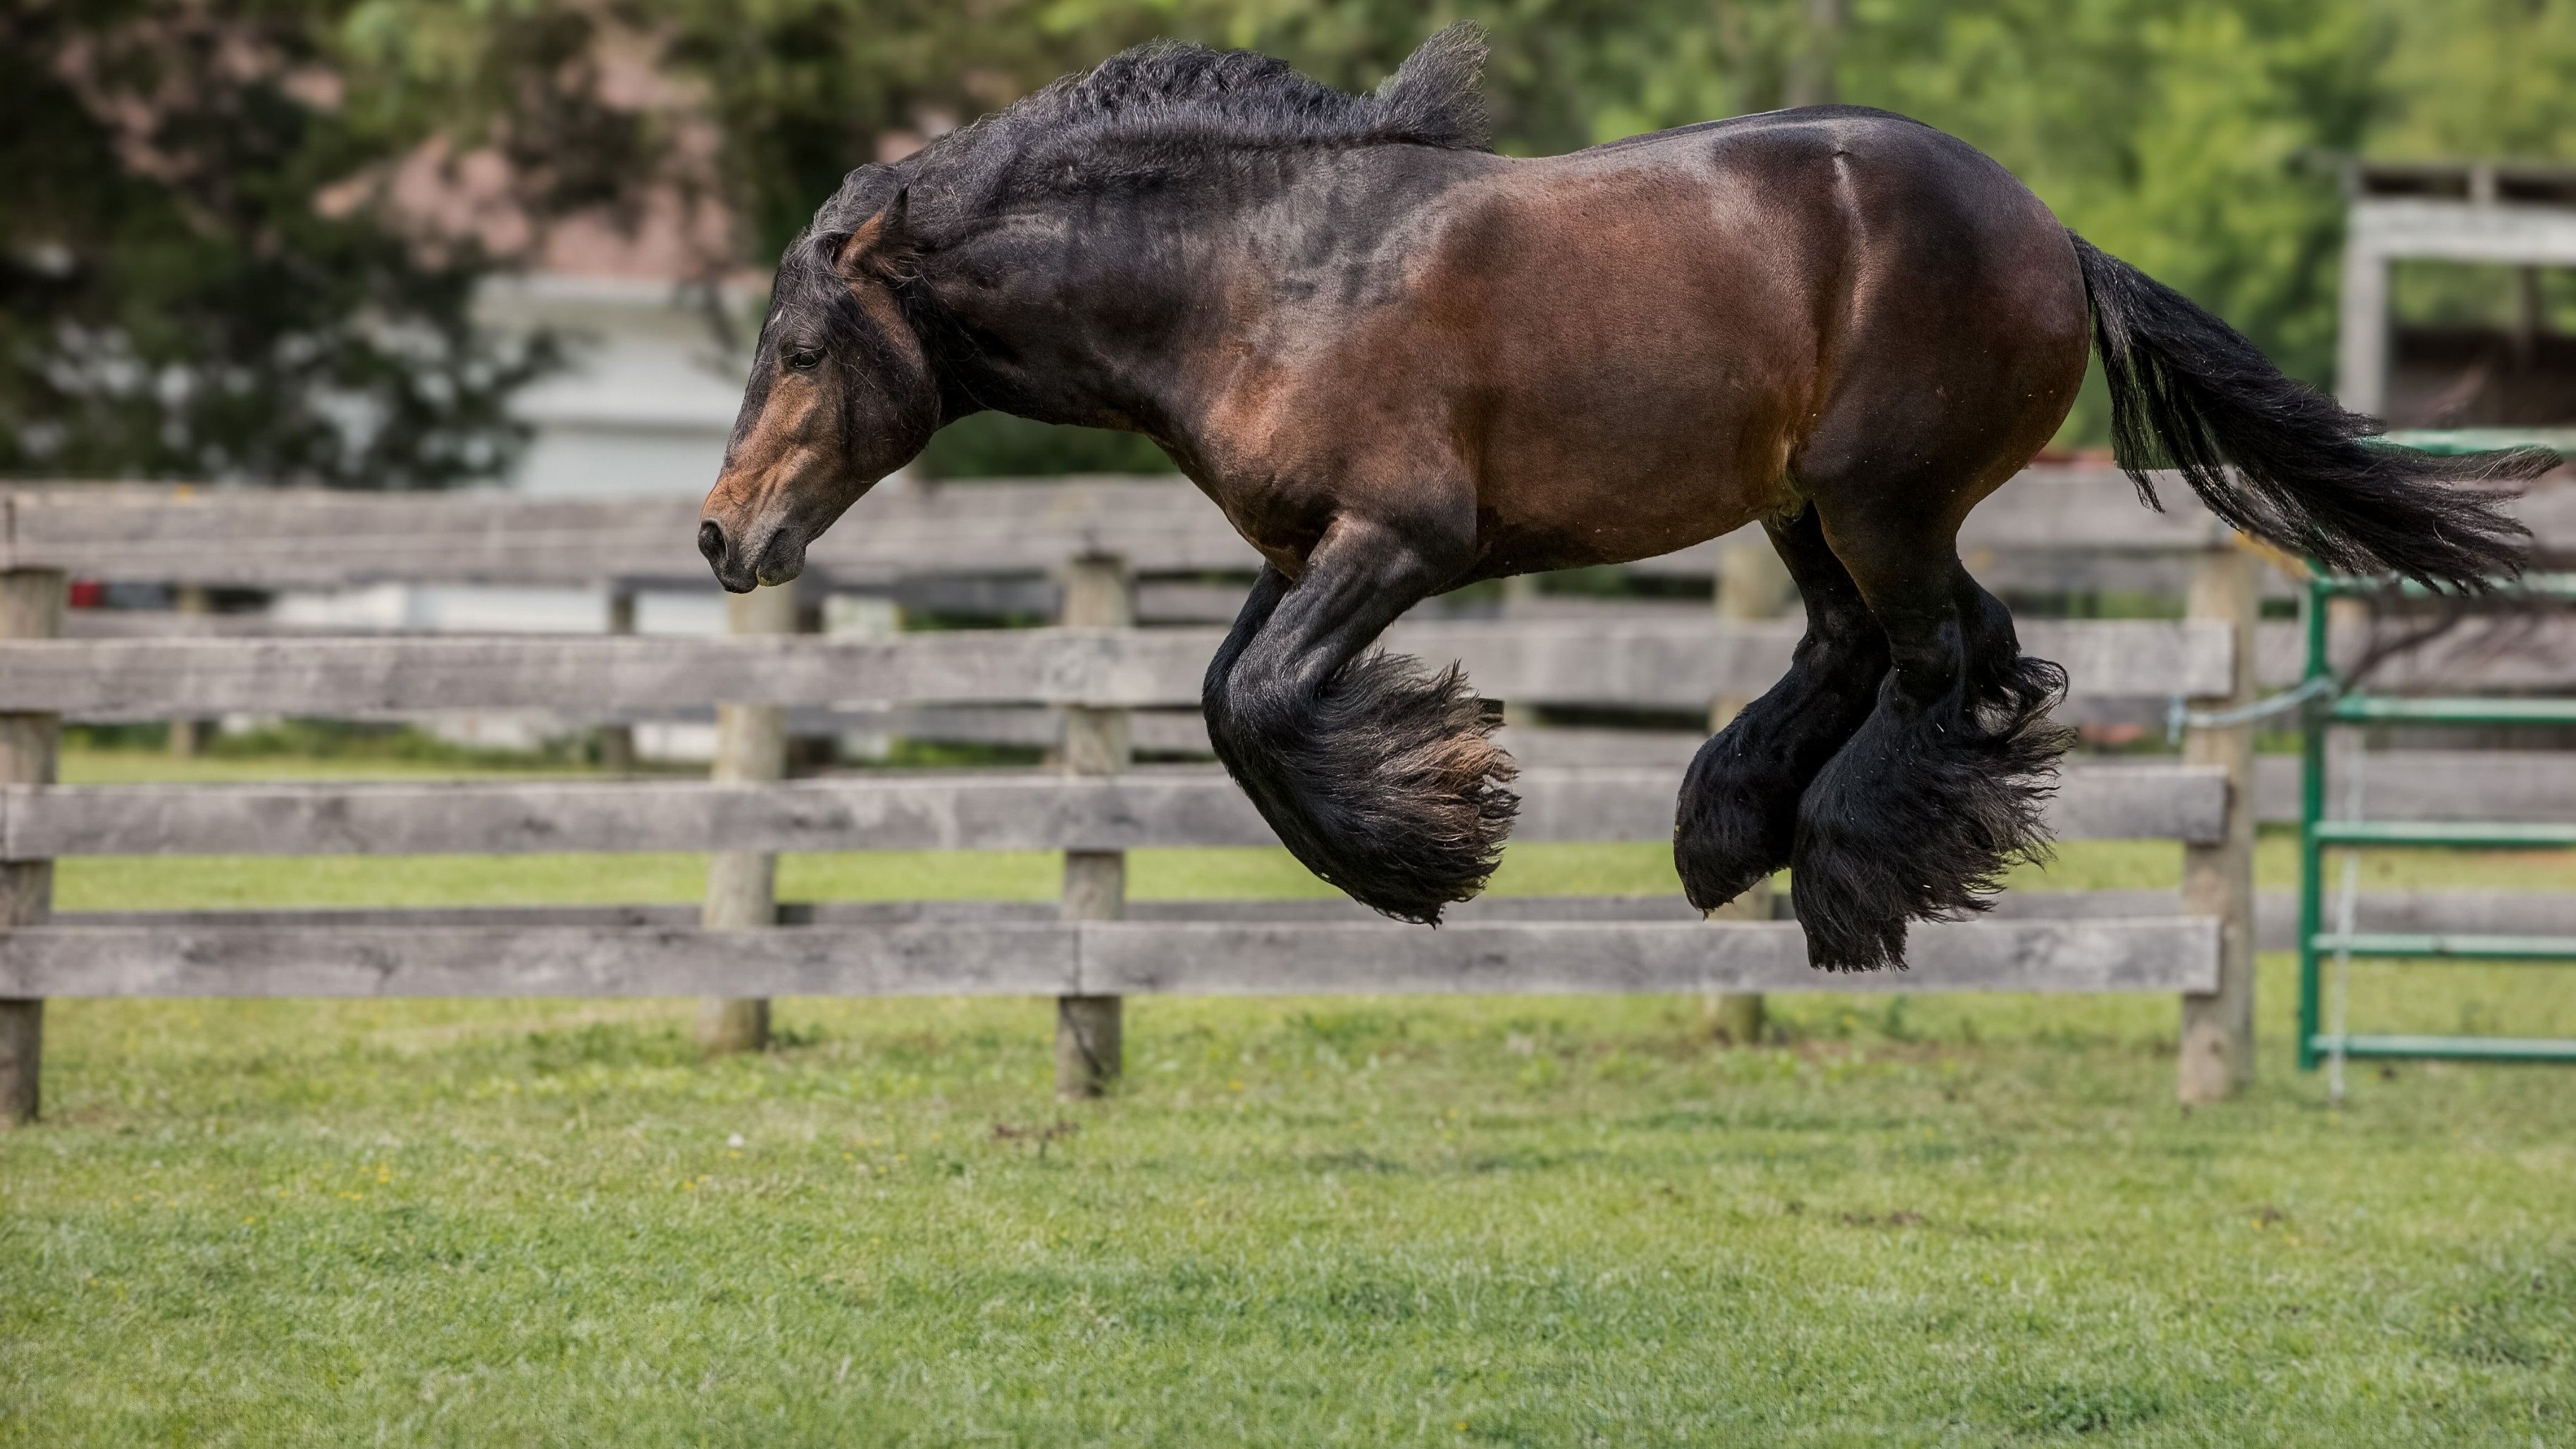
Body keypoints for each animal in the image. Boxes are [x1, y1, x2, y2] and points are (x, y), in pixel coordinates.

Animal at [695, 23, 2545, 967]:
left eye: (798, 345)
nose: (724, 533)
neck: (1260, 271)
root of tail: (2052, 234)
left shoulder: (1401, 539)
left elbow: (1263, 705)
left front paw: (1426, 841)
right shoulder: (1303, 546)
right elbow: (1229, 698)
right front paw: (1428, 812)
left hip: (1879, 493)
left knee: (1941, 657)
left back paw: (1844, 875)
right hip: (1811, 504)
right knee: (1907, 651)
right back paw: (1733, 831)